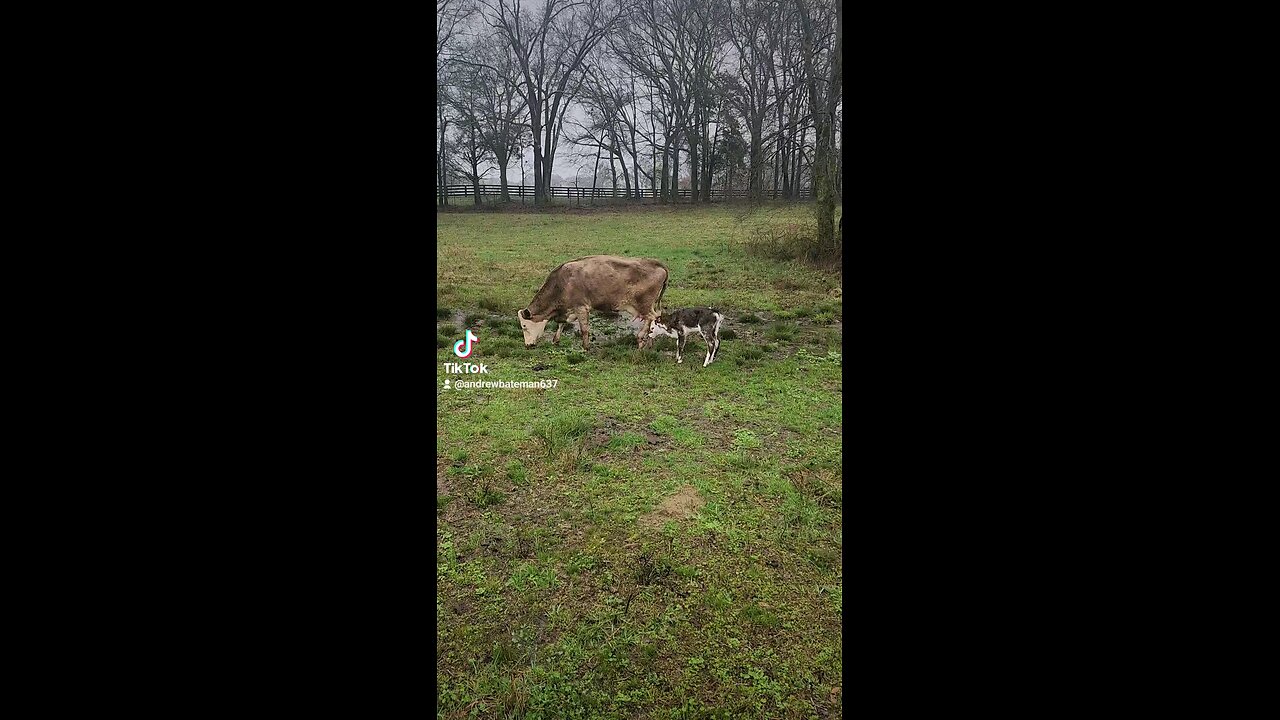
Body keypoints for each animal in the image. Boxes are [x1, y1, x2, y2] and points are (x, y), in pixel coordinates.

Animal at [517, 254, 670, 351]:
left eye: (524, 326)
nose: (528, 345)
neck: (561, 283)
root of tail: (656, 263)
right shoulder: (567, 310)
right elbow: (561, 324)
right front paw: (556, 340)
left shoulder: (581, 307)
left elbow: (584, 329)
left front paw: (585, 347)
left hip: (643, 305)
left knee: (652, 317)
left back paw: (642, 340)